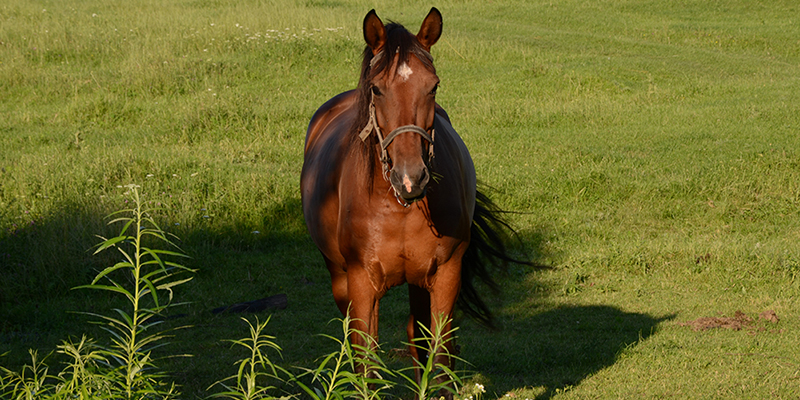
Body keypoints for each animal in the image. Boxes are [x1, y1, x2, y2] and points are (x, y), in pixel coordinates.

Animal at [304, 5, 520, 388]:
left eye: (433, 86)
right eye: (376, 89)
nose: (411, 177)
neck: (400, 207)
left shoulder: (445, 275)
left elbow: (440, 355)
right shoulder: (361, 283)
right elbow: (366, 364)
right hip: (339, 278)